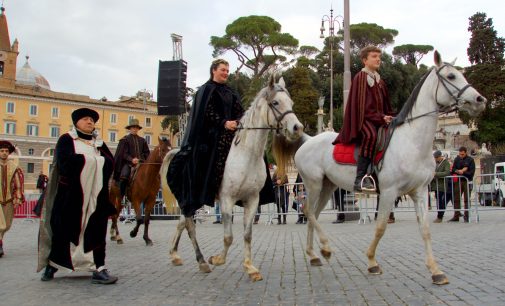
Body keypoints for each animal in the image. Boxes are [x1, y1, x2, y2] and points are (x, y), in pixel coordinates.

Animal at [162, 75, 304, 280]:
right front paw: (217, 259)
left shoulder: (252, 200)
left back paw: (175, 255)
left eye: (291, 102)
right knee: (189, 226)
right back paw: (202, 261)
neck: (246, 155)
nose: (297, 128)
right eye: (275, 102)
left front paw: (250, 268)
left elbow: (247, 235)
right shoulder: (227, 199)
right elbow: (228, 237)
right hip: (189, 199)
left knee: (182, 223)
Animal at [294, 51, 486, 286]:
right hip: (312, 184)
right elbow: (380, 227)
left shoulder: (420, 192)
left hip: (327, 186)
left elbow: (425, 229)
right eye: (451, 76)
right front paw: (371, 262)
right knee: (308, 211)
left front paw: (435, 270)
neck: (412, 142)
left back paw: (314, 254)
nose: (480, 100)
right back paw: (326, 248)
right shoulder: (388, 192)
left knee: (313, 213)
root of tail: (308, 140)